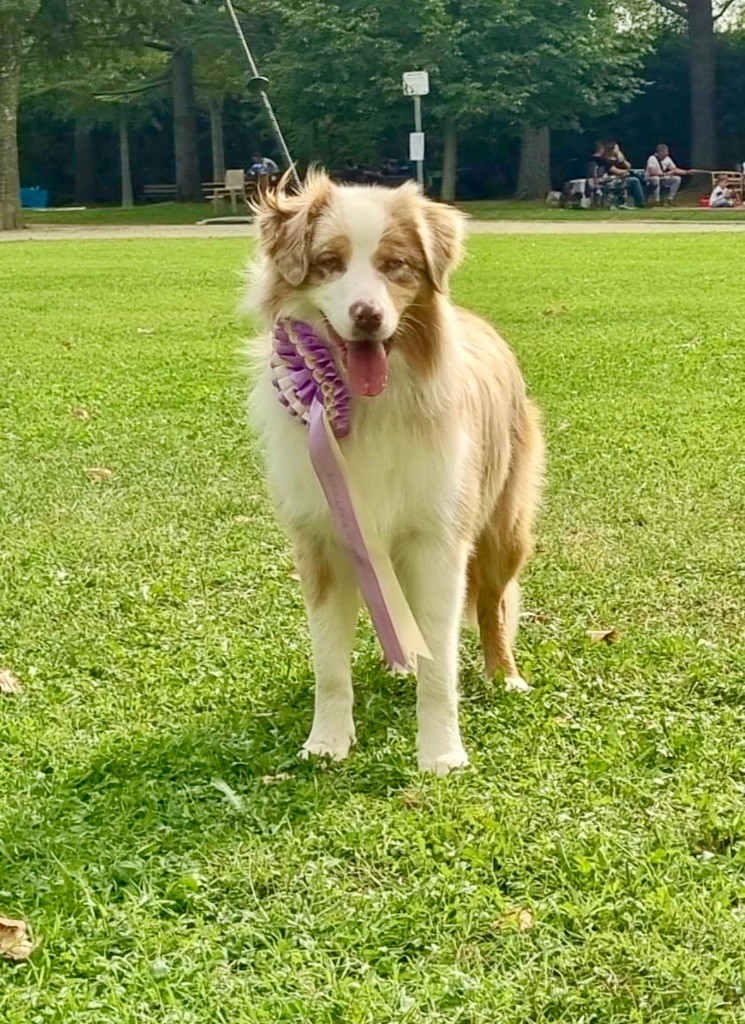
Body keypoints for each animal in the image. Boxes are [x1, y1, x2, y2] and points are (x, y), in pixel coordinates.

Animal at [247, 169, 544, 774]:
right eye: (330, 263)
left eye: (395, 265)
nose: (368, 316)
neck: (367, 407)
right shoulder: (324, 540)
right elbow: (330, 665)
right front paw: (327, 743)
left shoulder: (439, 539)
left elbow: (442, 666)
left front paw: (442, 753)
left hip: (505, 529)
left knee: (493, 607)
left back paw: (505, 677)